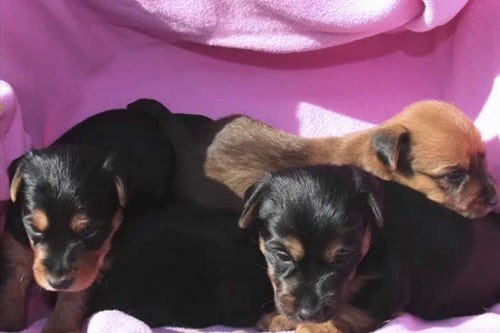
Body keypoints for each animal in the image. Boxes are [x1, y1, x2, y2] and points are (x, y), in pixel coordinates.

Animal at [239, 165, 492, 330]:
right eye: (282, 254)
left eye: (343, 257)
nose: (308, 313)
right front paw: (280, 318)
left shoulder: (389, 291)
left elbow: (346, 313)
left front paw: (308, 326)